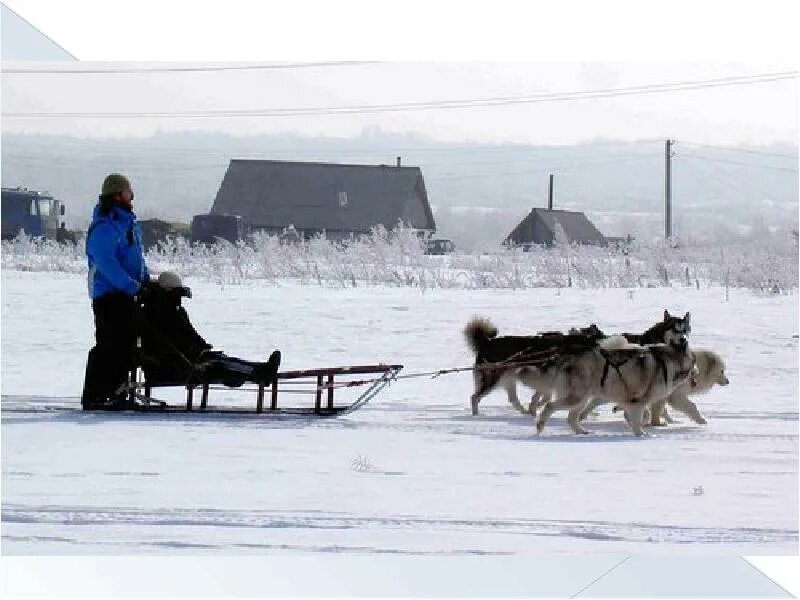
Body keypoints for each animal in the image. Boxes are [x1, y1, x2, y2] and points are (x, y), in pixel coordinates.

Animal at [462, 318, 600, 418]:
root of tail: (487, 342)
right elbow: (542, 396)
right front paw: (535, 407)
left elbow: (544, 396)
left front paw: (535, 407)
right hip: (492, 380)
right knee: (474, 397)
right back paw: (476, 415)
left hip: (509, 379)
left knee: (513, 399)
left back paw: (525, 412)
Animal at [532, 338, 692, 436]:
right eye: (693, 361)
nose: (694, 376)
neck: (667, 361)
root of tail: (566, 356)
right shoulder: (637, 402)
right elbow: (638, 419)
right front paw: (641, 434)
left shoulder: (630, 401)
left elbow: (640, 416)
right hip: (576, 397)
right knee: (550, 406)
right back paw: (540, 426)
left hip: (582, 400)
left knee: (571, 417)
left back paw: (581, 431)